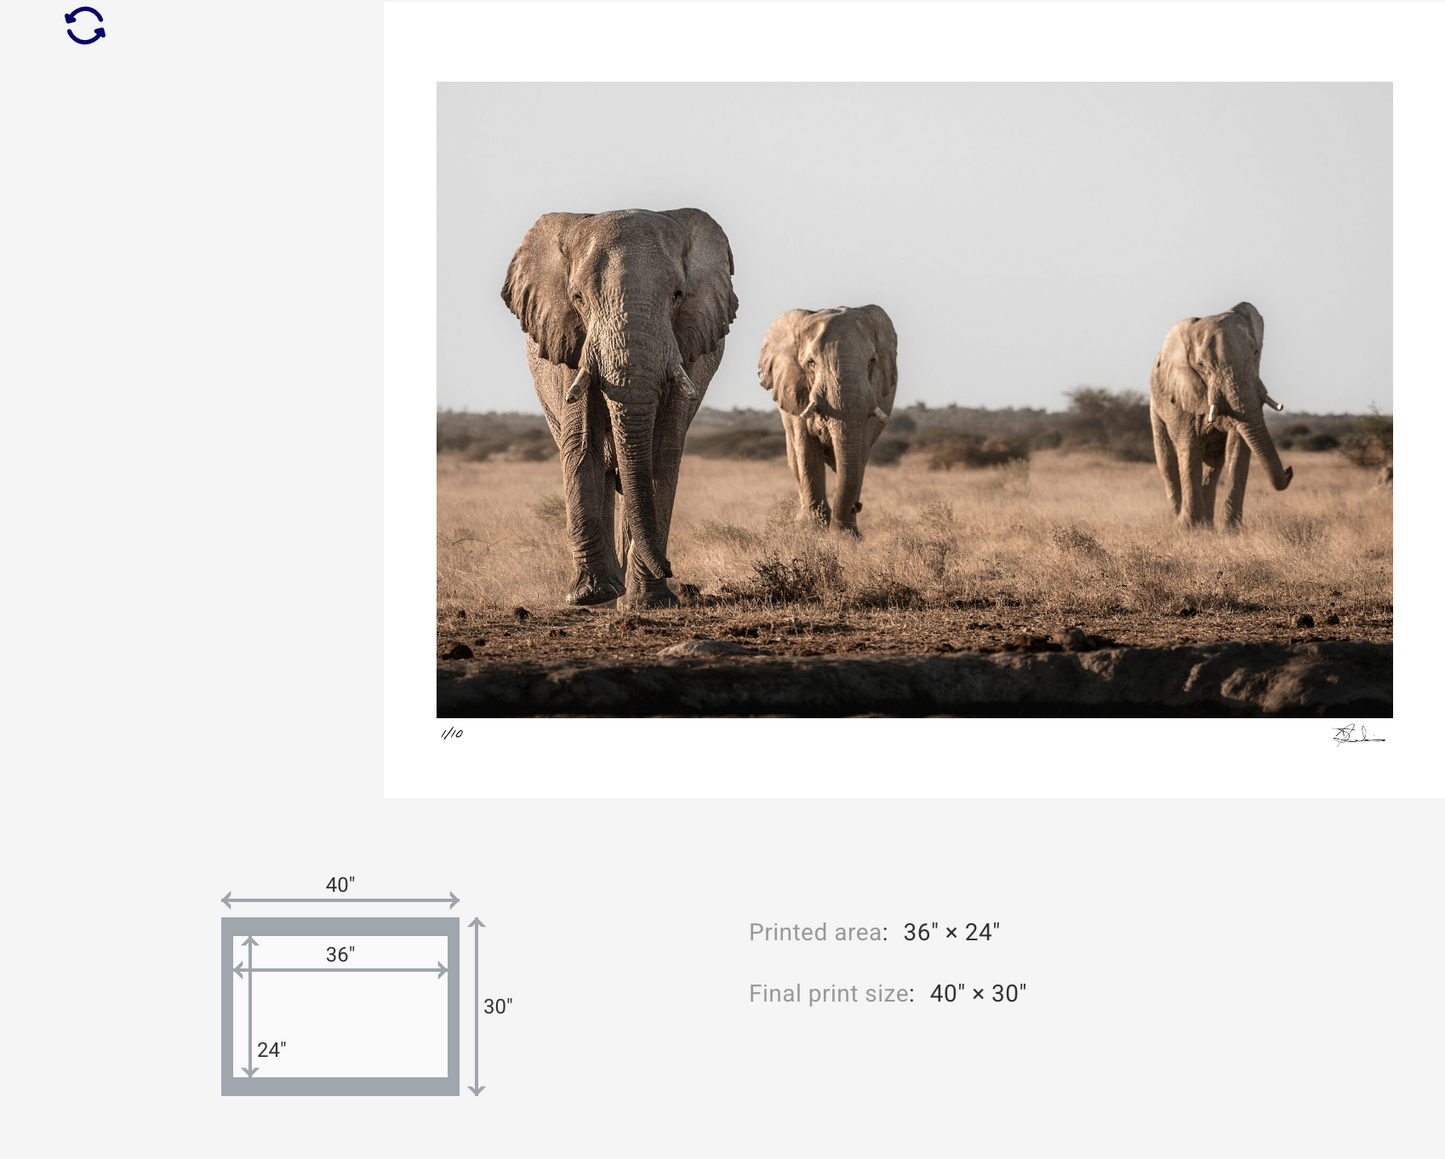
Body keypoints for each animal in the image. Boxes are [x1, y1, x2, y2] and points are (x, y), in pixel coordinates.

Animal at [501, 208, 737, 608]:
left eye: (677, 295)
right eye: (578, 298)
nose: (670, 568)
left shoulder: (686, 348)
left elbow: (660, 454)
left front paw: (649, 602)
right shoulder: (571, 344)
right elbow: (582, 446)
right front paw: (590, 597)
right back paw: (609, 594)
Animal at [757, 305, 898, 535]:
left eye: (872, 362)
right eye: (811, 363)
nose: (857, 506)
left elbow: (859, 450)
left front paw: (846, 536)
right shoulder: (797, 392)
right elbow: (806, 450)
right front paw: (812, 531)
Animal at [1149, 302, 1292, 528]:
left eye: (1255, 352)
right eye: (1201, 366)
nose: (1289, 471)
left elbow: (1238, 448)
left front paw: (1232, 530)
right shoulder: (1181, 394)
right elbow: (1189, 448)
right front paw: (1187, 528)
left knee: (1214, 463)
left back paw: (1207, 525)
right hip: (1156, 407)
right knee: (1167, 461)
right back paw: (1182, 521)